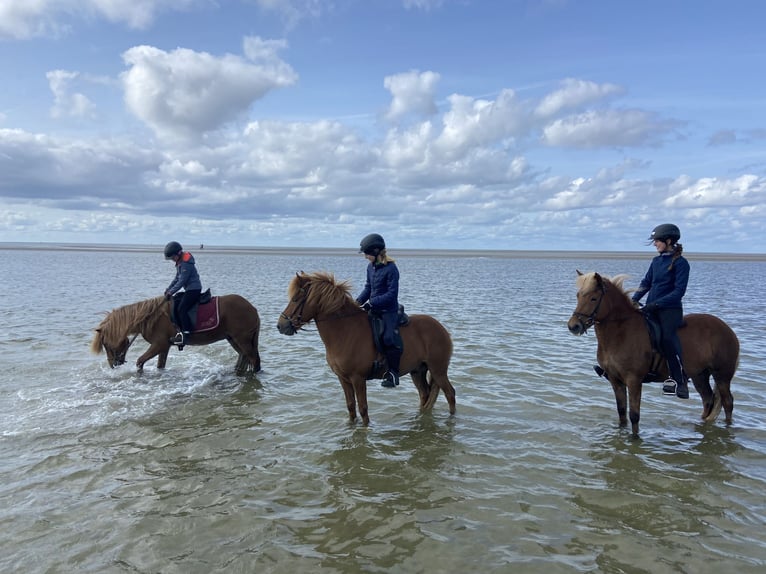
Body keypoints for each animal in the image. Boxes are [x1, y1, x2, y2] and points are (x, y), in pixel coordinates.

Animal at [91, 294, 260, 376]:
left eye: (106, 344)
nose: (113, 365)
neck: (150, 317)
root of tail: (252, 308)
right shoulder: (164, 348)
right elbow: (160, 366)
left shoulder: (159, 345)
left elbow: (139, 362)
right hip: (234, 340)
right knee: (244, 358)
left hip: (242, 340)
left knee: (254, 360)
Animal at [278, 272, 452, 426]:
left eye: (295, 299)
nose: (280, 325)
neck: (344, 331)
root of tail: (442, 329)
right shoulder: (343, 378)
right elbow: (350, 407)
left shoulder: (358, 378)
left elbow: (363, 409)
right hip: (417, 371)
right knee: (425, 395)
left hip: (438, 371)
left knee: (450, 394)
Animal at [568, 272, 736, 438]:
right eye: (578, 295)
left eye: (593, 298)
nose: (573, 326)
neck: (621, 332)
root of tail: (727, 329)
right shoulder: (615, 380)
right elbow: (621, 412)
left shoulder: (634, 380)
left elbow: (634, 415)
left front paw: (635, 439)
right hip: (700, 375)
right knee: (708, 400)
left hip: (722, 376)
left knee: (727, 402)